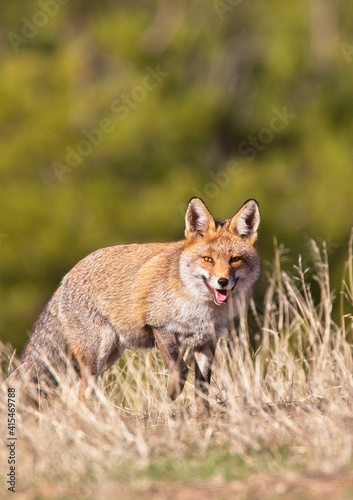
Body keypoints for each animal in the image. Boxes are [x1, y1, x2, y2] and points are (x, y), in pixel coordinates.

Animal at [17, 198, 258, 414]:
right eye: (207, 259)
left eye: (235, 259)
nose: (223, 281)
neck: (202, 310)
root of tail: (65, 278)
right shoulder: (160, 327)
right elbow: (180, 369)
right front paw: (172, 393)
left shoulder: (207, 340)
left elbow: (202, 387)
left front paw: (203, 417)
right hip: (98, 352)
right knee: (82, 394)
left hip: (108, 356)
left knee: (78, 391)